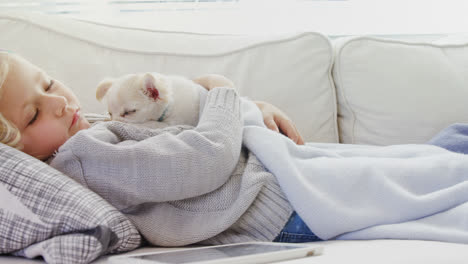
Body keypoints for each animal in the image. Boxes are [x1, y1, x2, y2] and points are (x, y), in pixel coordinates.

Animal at [95, 72, 234, 129]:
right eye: (110, 114)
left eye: (130, 112)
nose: (114, 121)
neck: (170, 103)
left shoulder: (173, 122)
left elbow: (148, 124)